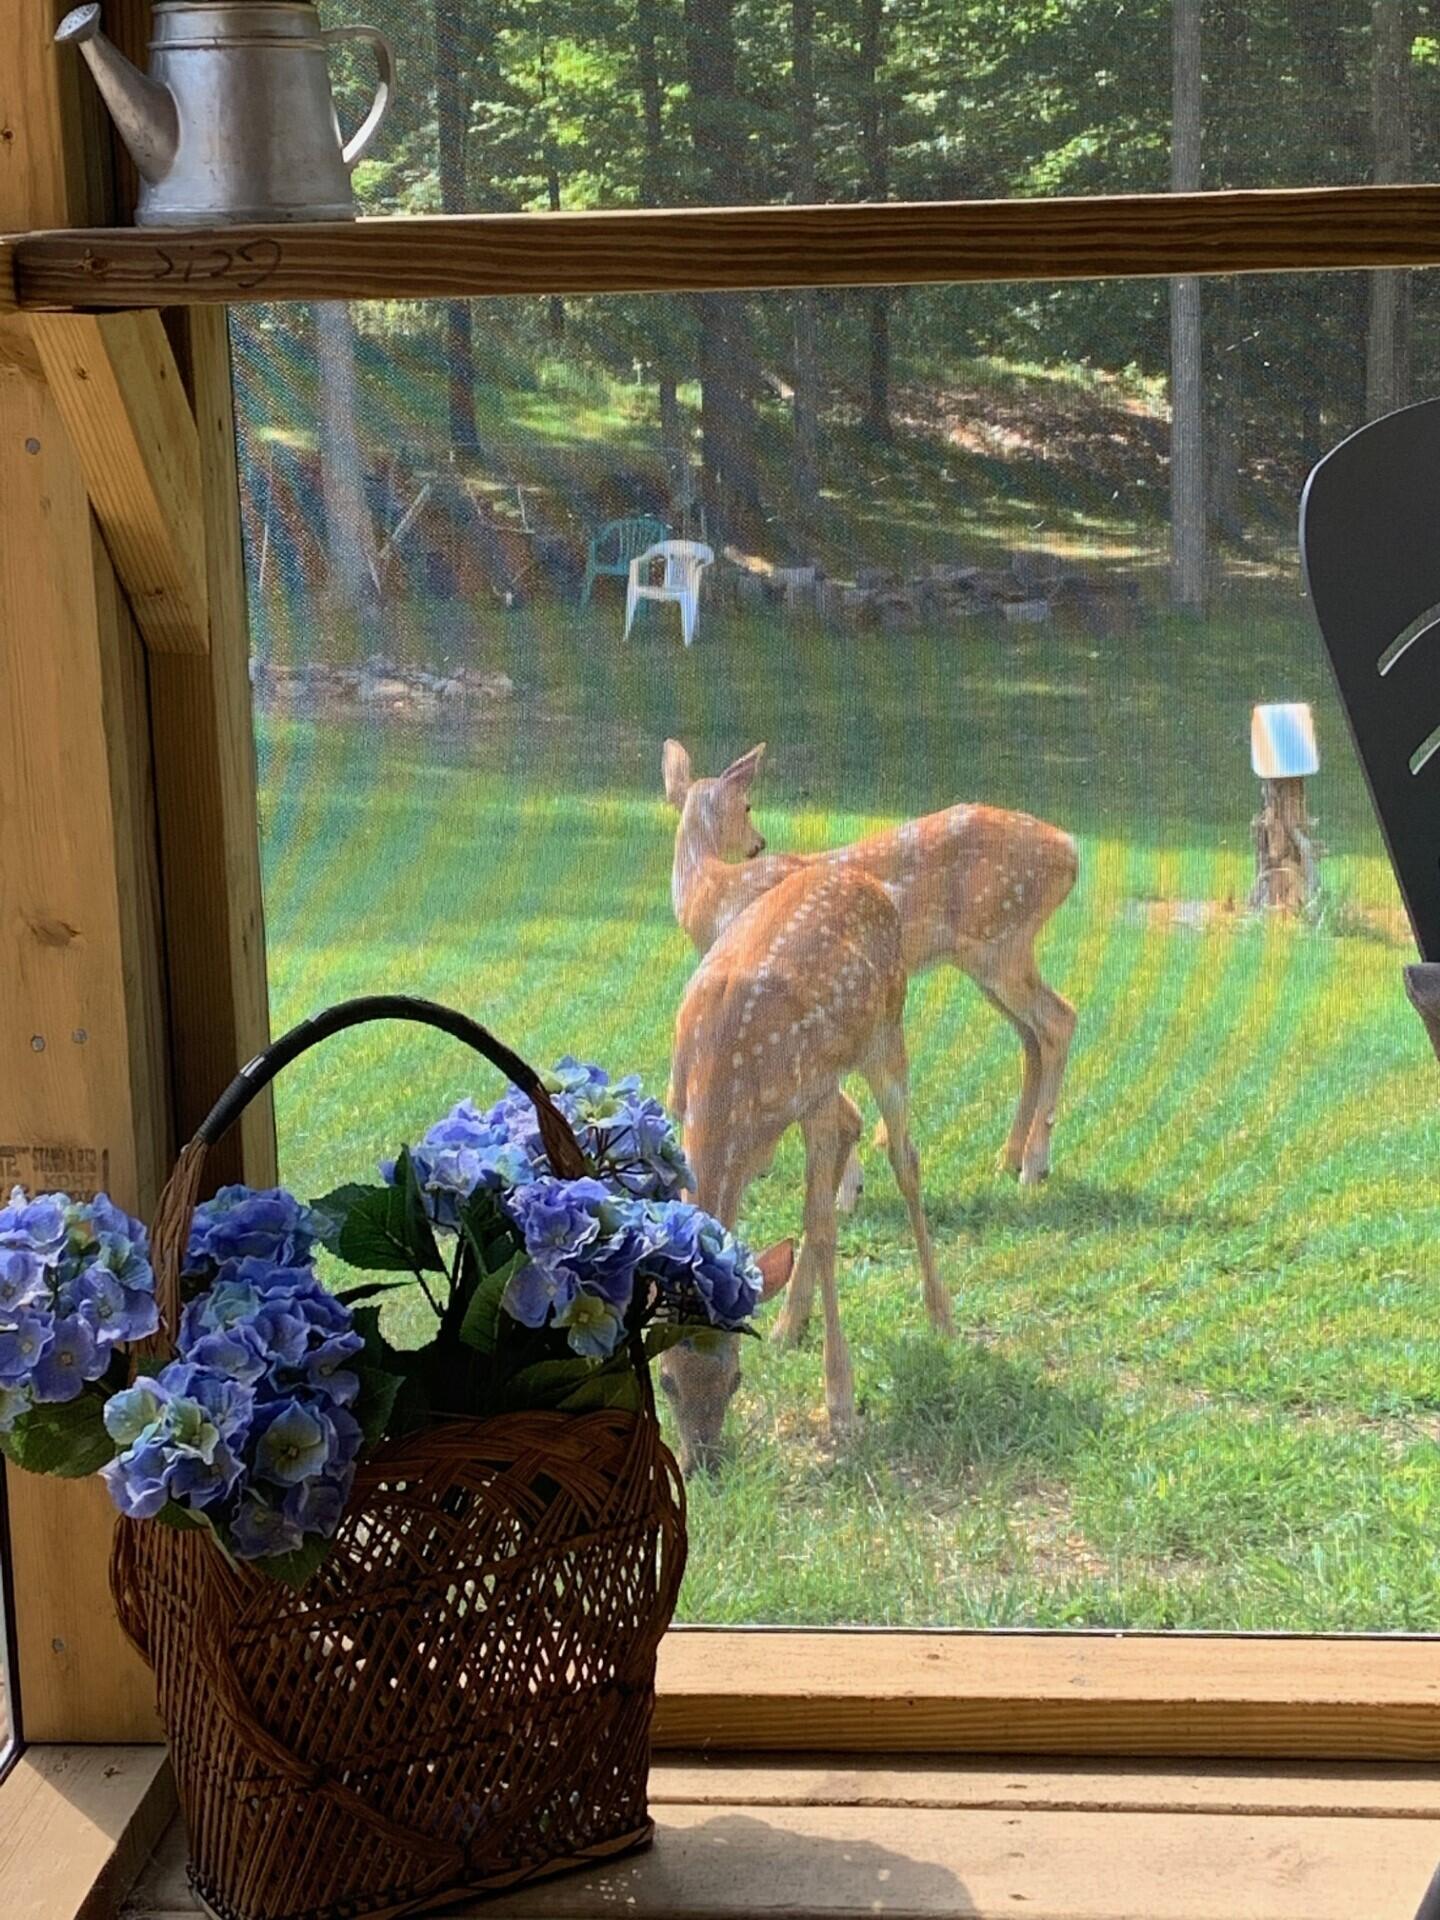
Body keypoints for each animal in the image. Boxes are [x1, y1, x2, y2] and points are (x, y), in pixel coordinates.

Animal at [660, 864, 952, 1474]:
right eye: (667, 1381)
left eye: (736, 1379)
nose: (703, 1464)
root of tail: (866, 879)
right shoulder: (679, 1103)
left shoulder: (812, 1091)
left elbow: (819, 1227)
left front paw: (840, 1402)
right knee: (852, 1123)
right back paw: (790, 1324)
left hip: (884, 1031)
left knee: (903, 1158)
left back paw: (941, 1315)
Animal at [672, 733, 1075, 1182]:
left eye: (748, 804)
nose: (758, 844)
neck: (713, 894)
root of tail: (1071, 852)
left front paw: (847, 1179)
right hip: (988, 960)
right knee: (1032, 1037)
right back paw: (1009, 1157)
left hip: (1000, 946)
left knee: (1059, 1020)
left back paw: (1033, 1166)